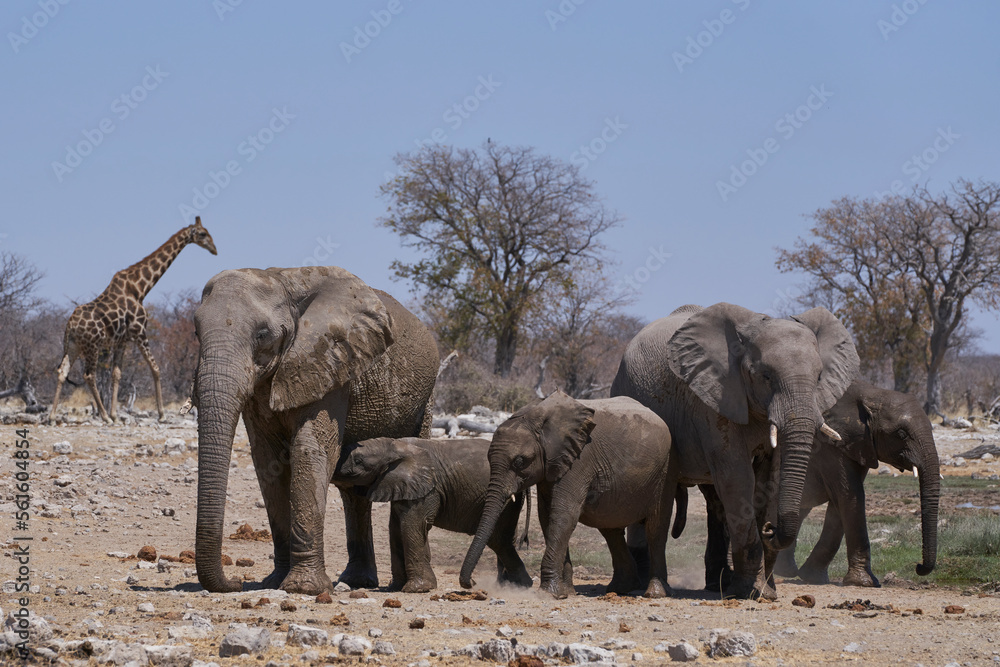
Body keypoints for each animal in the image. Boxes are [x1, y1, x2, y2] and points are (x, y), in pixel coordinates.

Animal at [192, 266, 438, 595]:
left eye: (262, 335)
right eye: (196, 332)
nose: (236, 582)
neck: (280, 280)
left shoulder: (327, 363)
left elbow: (310, 450)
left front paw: (302, 588)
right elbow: (268, 461)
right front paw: (274, 583)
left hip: (425, 401)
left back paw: (405, 585)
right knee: (354, 492)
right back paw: (356, 581)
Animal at [332, 436, 532, 593]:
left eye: (358, 460)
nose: (474, 582)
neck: (394, 445)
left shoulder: (428, 489)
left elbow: (412, 526)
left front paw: (417, 589)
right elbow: (395, 529)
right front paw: (395, 588)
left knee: (498, 538)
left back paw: (517, 586)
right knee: (501, 540)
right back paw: (514, 585)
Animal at [460, 391, 679, 599]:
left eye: (520, 461)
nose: (472, 583)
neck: (536, 417)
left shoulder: (580, 460)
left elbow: (564, 515)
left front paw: (549, 593)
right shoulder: (552, 464)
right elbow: (547, 517)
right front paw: (565, 592)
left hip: (665, 471)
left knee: (655, 528)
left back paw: (654, 593)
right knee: (610, 529)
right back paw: (621, 588)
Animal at [611, 303, 859, 599]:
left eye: (819, 376)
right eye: (765, 376)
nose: (769, 529)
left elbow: (769, 479)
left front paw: (766, 591)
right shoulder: (712, 399)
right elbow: (738, 478)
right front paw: (751, 592)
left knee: (714, 500)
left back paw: (717, 583)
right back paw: (642, 585)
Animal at [699, 380, 939, 589]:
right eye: (901, 433)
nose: (918, 567)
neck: (871, 393)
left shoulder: (858, 445)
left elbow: (841, 503)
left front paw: (812, 577)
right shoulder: (831, 445)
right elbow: (850, 496)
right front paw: (865, 583)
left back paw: (784, 570)